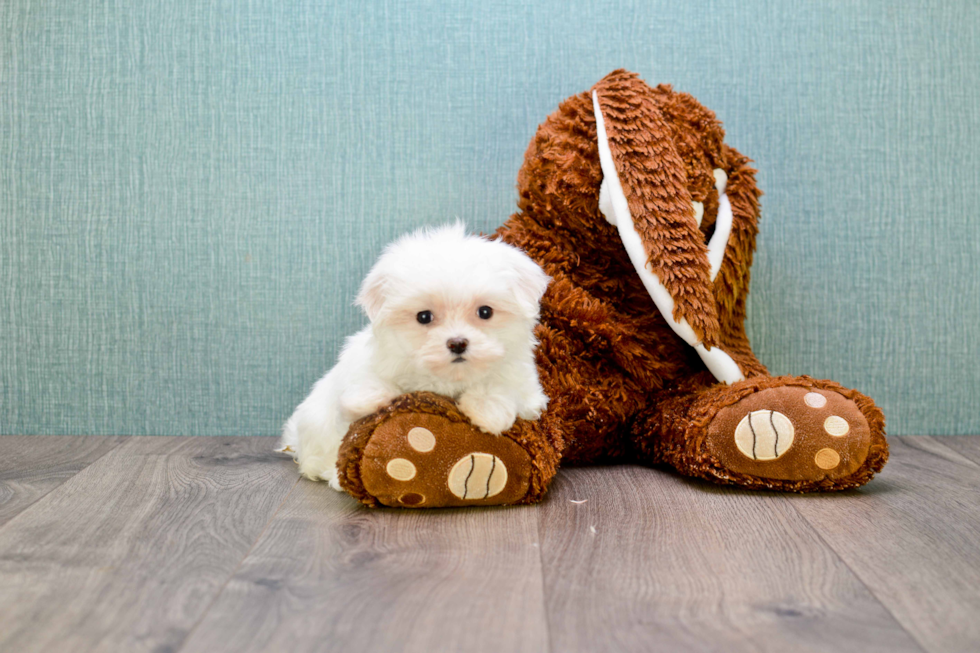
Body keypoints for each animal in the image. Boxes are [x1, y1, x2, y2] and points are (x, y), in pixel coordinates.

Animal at [278, 223, 552, 488]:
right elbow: (365, 382)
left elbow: (504, 385)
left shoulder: (526, 386)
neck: (449, 379)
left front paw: (489, 410)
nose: (457, 343)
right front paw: (368, 398)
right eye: (424, 317)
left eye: (485, 312)